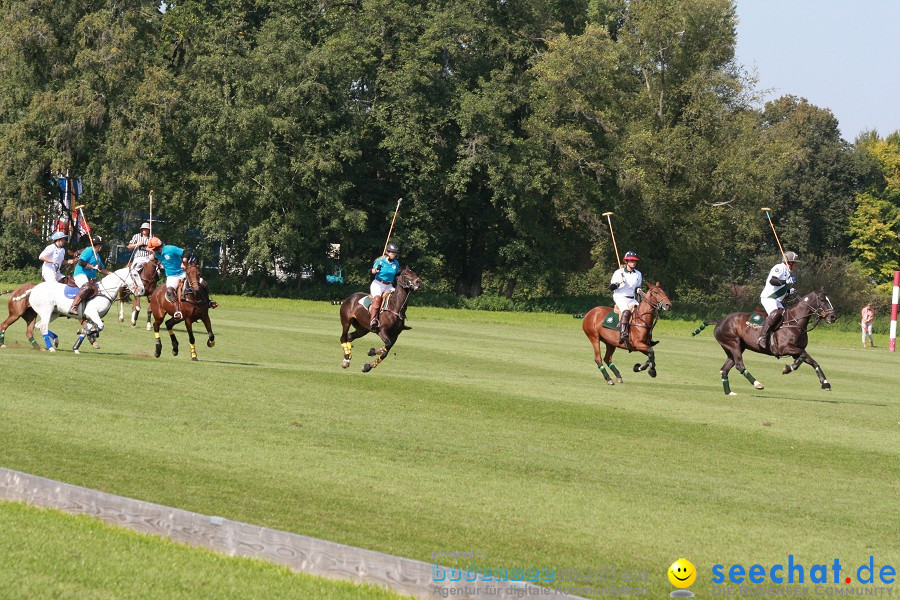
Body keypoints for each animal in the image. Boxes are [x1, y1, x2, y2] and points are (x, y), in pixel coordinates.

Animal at [696, 290, 836, 396]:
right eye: (823, 300)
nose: (833, 317)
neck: (795, 322)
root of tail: (719, 321)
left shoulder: (795, 350)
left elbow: (813, 361)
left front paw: (825, 383)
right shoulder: (784, 348)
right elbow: (802, 355)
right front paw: (788, 368)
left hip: (734, 348)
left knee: (724, 369)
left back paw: (729, 392)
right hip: (733, 344)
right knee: (739, 365)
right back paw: (757, 384)